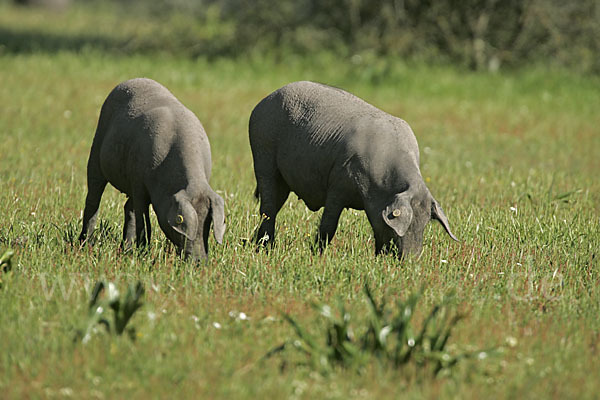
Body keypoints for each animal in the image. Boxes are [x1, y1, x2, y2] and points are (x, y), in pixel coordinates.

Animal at [79, 77, 225, 260]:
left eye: (208, 224)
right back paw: (85, 244)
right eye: (185, 228)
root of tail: (131, 79)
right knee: (93, 199)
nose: (200, 261)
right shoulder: (139, 182)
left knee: (128, 207)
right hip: (96, 152)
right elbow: (144, 221)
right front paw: (144, 254)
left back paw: (125, 249)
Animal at [251, 80, 458, 260]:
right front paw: (316, 256)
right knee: (267, 207)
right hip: (263, 157)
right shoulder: (338, 184)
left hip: (282, 180)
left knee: (272, 207)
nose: (411, 261)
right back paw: (265, 249)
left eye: (423, 226)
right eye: (403, 227)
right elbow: (329, 225)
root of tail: (262, 103)